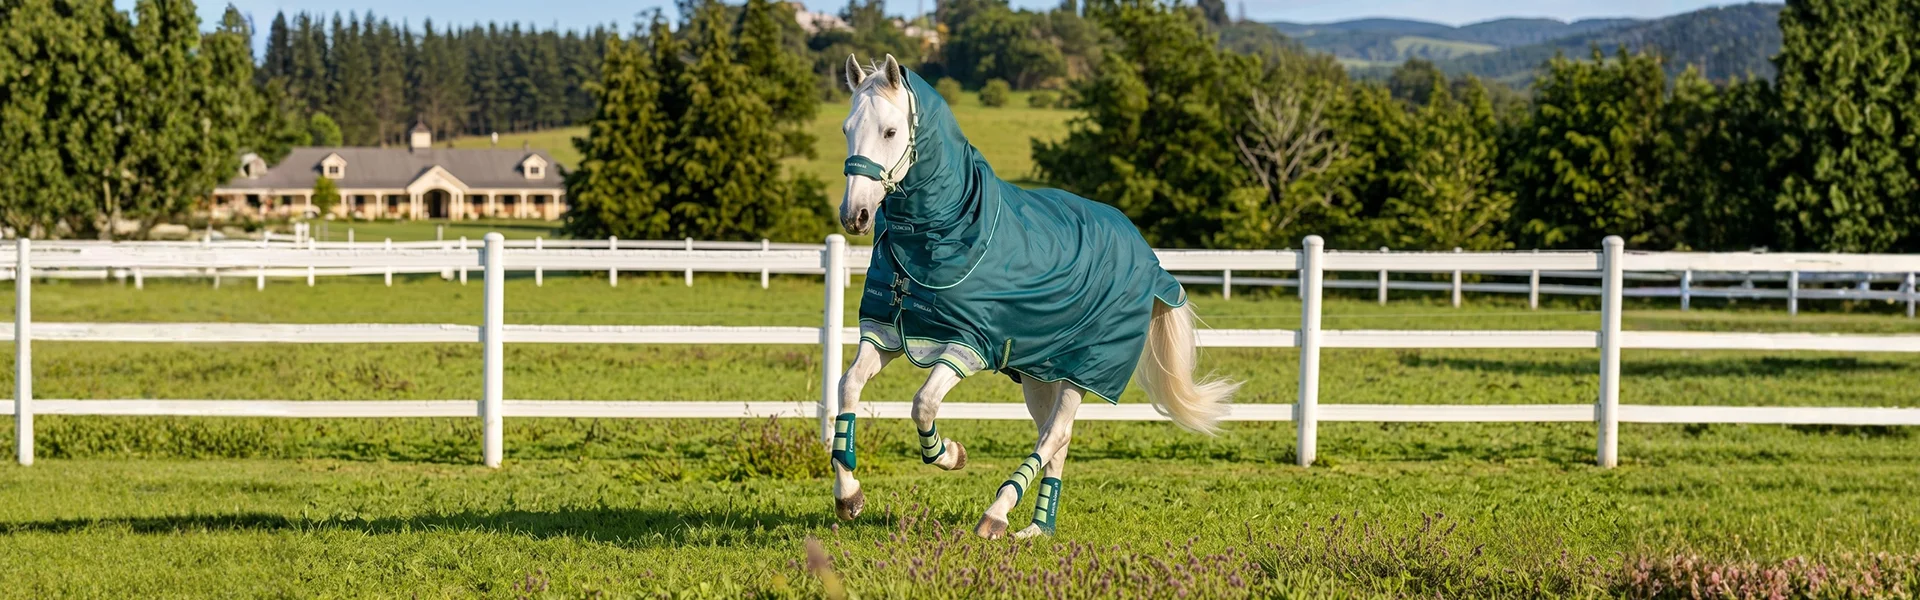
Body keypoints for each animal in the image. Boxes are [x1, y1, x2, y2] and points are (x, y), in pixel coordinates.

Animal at [831, 54, 1241, 539]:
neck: (947, 231)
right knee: (1055, 439)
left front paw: (951, 454)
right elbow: (848, 386)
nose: (854, 216)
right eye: (846, 129)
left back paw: (997, 515)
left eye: (891, 131)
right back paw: (1036, 528)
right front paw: (849, 497)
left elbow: (923, 404)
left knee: (1054, 435)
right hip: (1040, 373)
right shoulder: (887, 332)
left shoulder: (968, 345)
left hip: (1086, 371)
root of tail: (1150, 259)